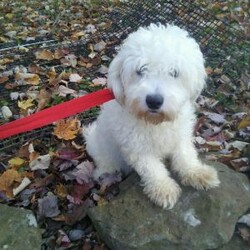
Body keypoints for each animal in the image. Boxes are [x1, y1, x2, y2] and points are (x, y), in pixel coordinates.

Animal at [83, 24, 219, 209]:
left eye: (174, 72)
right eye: (140, 70)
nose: (154, 101)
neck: (155, 122)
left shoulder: (180, 135)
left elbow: (185, 155)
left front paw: (196, 172)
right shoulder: (136, 147)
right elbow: (152, 169)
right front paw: (163, 189)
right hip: (103, 150)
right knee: (104, 162)